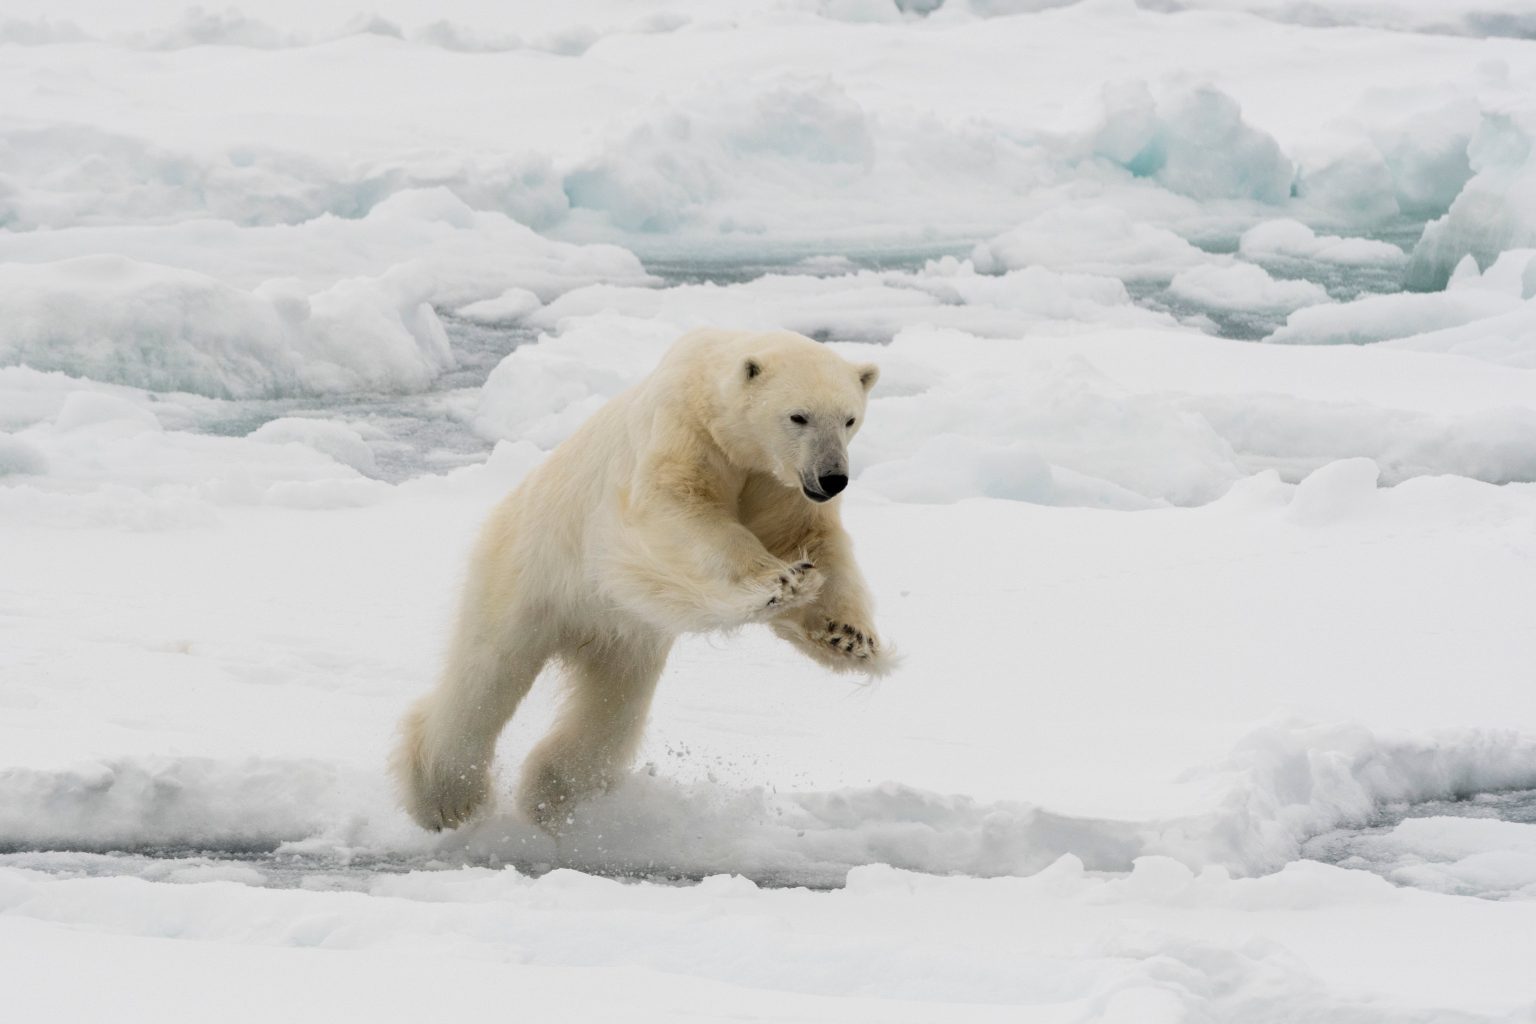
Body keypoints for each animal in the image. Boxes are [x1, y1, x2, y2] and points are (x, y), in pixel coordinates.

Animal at [396, 328, 890, 835]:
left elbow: (809, 537)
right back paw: (447, 799)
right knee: (488, 673)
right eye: (798, 416)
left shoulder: (778, 483)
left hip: (624, 634)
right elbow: (678, 511)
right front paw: (782, 581)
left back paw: (549, 795)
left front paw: (849, 637)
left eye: (849, 419)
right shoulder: (682, 433)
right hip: (527, 570)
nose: (833, 478)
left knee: (612, 705)